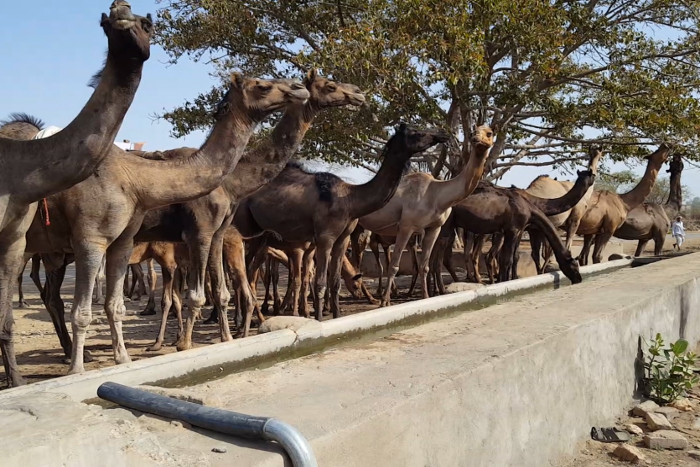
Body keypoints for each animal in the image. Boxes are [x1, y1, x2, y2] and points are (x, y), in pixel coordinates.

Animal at [24, 75, 309, 375]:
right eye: (262, 85)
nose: (298, 88)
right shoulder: (197, 233)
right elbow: (195, 295)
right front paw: (185, 344)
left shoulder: (214, 235)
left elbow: (217, 292)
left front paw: (225, 339)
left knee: (50, 296)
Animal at [234, 124, 450, 324]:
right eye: (417, 132)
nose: (442, 134)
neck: (351, 200)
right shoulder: (325, 237)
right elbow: (320, 282)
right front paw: (319, 319)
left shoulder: (343, 238)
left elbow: (335, 282)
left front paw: (336, 316)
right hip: (243, 229)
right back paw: (242, 321)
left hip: (261, 237)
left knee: (249, 271)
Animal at [357, 125, 493, 306]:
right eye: (474, 131)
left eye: (489, 133)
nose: (476, 139)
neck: (437, 195)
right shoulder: (406, 226)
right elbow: (394, 265)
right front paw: (385, 302)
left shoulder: (434, 228)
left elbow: (424, 265)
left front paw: (426, 297)